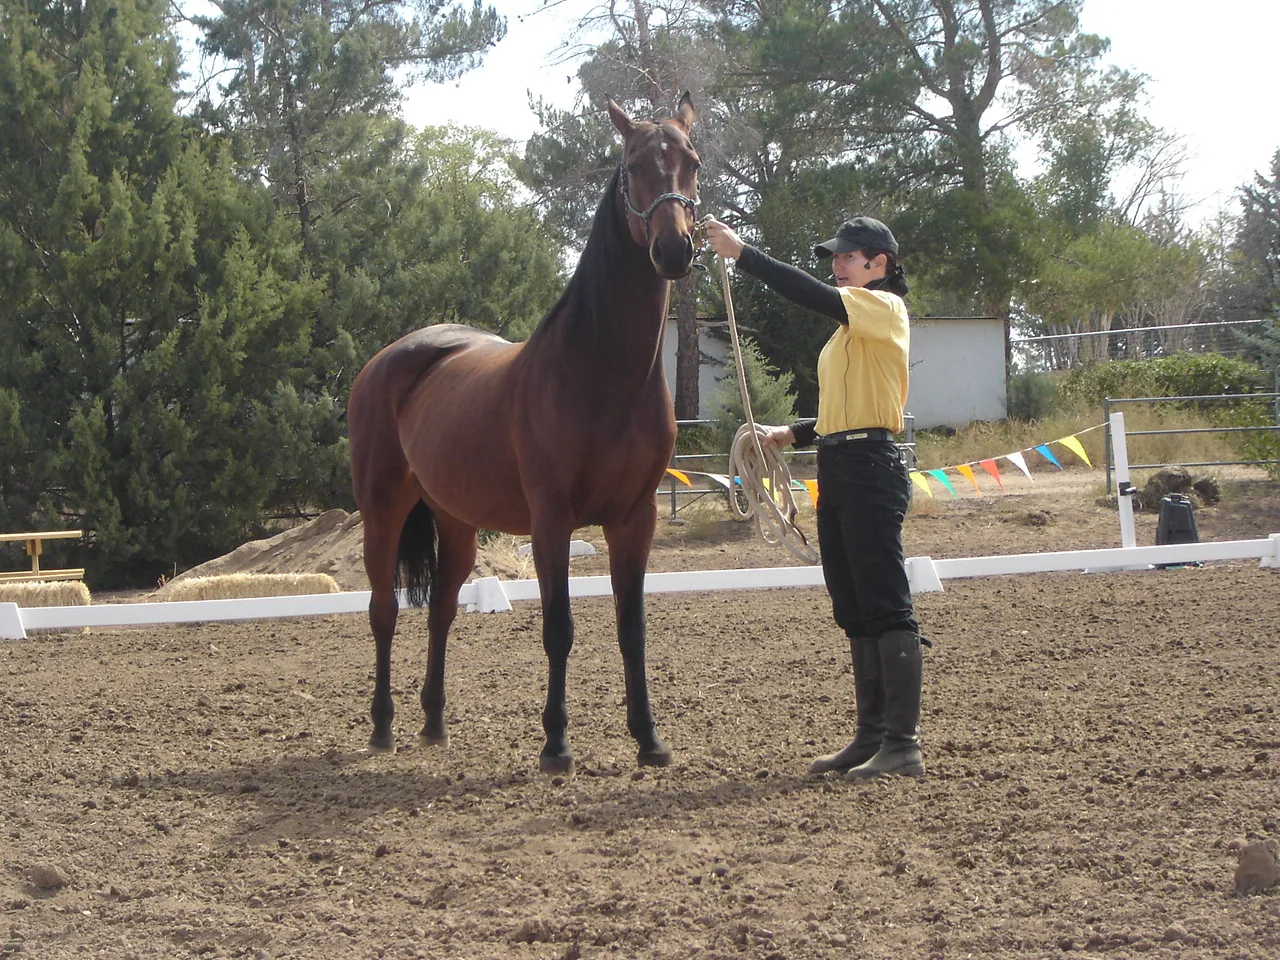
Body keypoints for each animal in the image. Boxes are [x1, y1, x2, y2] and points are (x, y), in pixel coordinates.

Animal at [346, 95, 701, 773]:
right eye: (633, 166)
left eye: (691, 162)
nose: (674, 250)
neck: (602, 371)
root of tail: (387, 359)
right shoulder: (551, 519)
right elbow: (558, 627)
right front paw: (556, 744)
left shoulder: (635, 517)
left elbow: (632, 626)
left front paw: (649, 738)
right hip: (382, 509)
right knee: (383, 611)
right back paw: (381, 728)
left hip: (456, 521)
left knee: (442, 609)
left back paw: (435, 723)